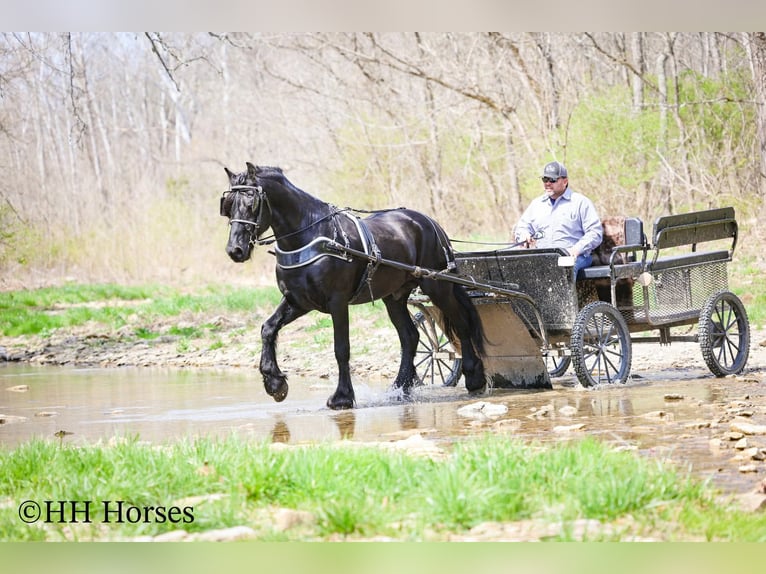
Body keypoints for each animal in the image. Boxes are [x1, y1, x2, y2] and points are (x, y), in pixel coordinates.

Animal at [220, 162, 487, 410]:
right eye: (228, 204)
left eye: (251, 202)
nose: (235, 250)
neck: (311, 235)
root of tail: (429, 222)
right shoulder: (298, 301)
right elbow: (268, 328)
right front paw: (275, 383)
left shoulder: (337, 302)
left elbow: (341, 348)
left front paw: (342, 397)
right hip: (394, 296)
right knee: (410, 337)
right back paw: (400, 388)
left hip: (437, 287)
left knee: (461, 325)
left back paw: (475, 378)